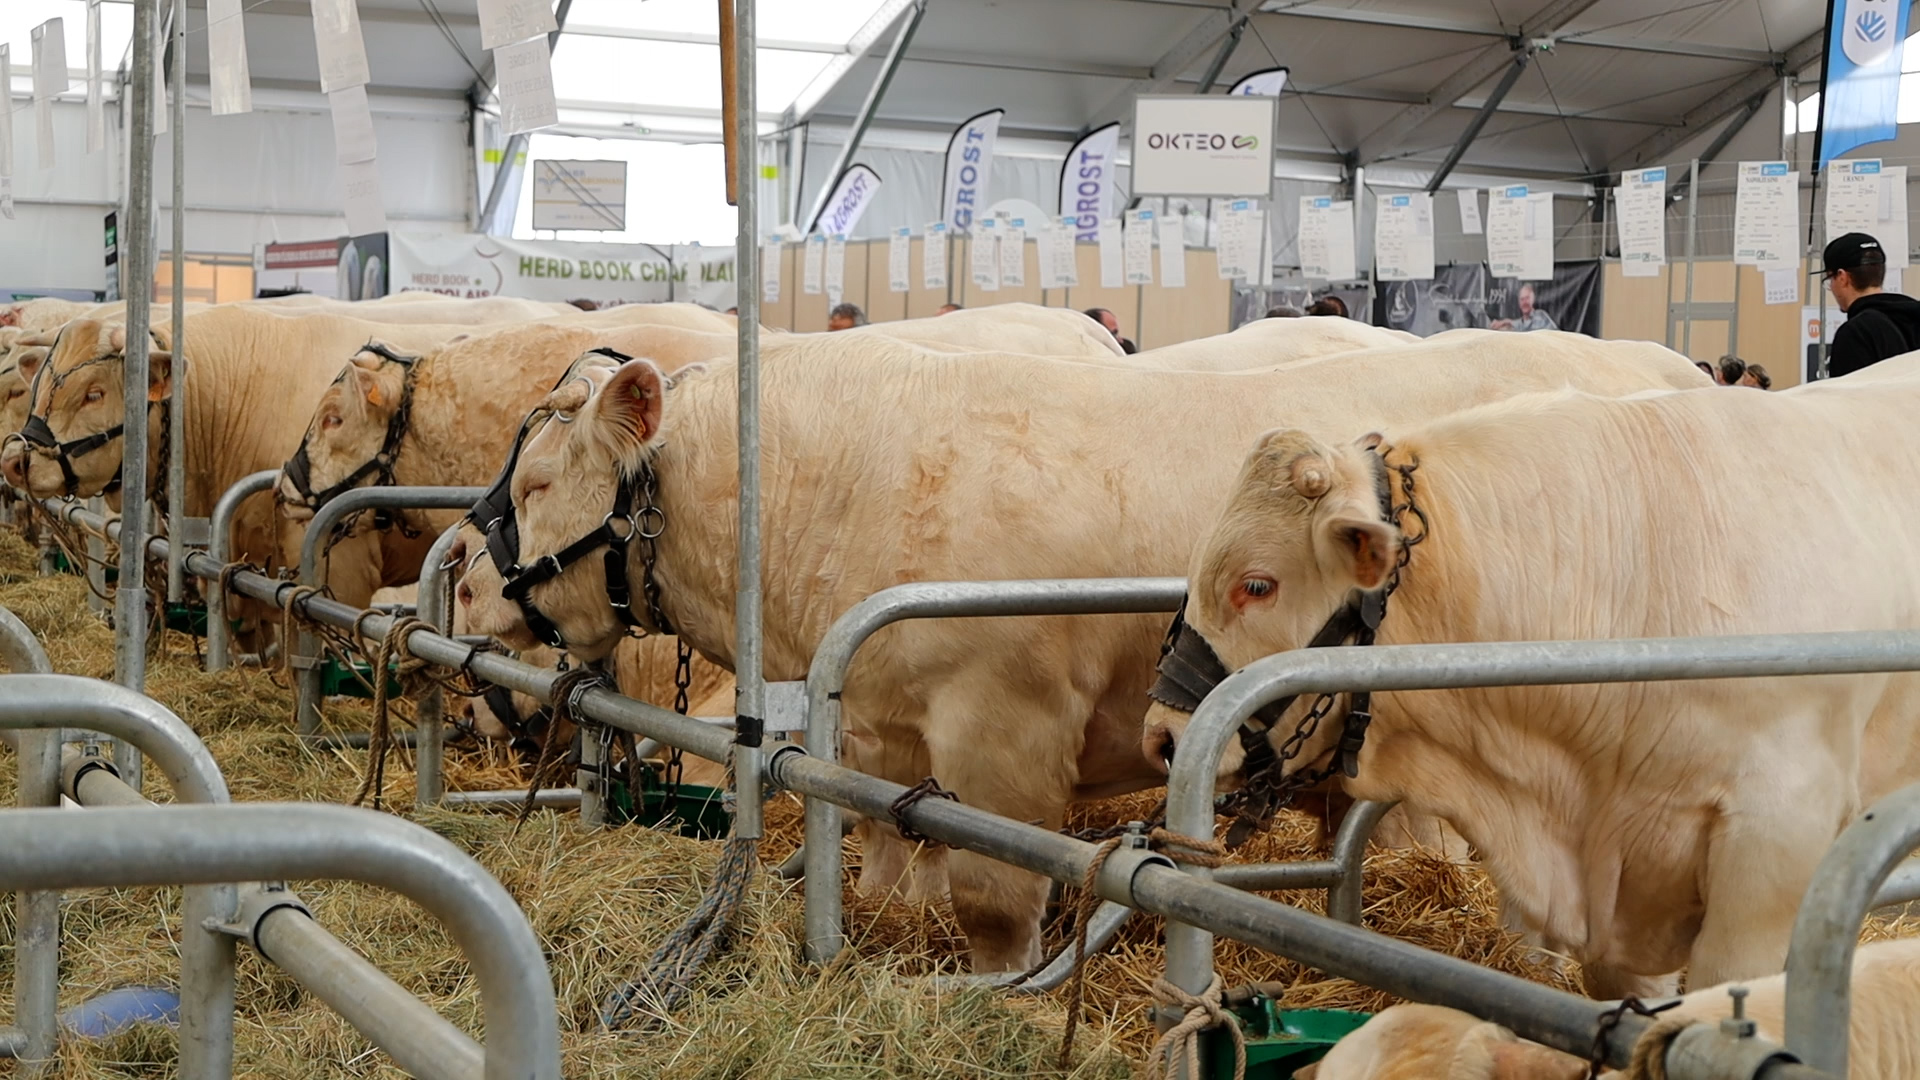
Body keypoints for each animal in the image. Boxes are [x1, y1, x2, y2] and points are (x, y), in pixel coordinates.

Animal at [450, 331, 1708, 971]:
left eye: (541, 482)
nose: (460, 573)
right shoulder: (881, 726)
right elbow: (887, 862)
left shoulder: (1002, 726)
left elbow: (995, 892)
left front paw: (995, 990)